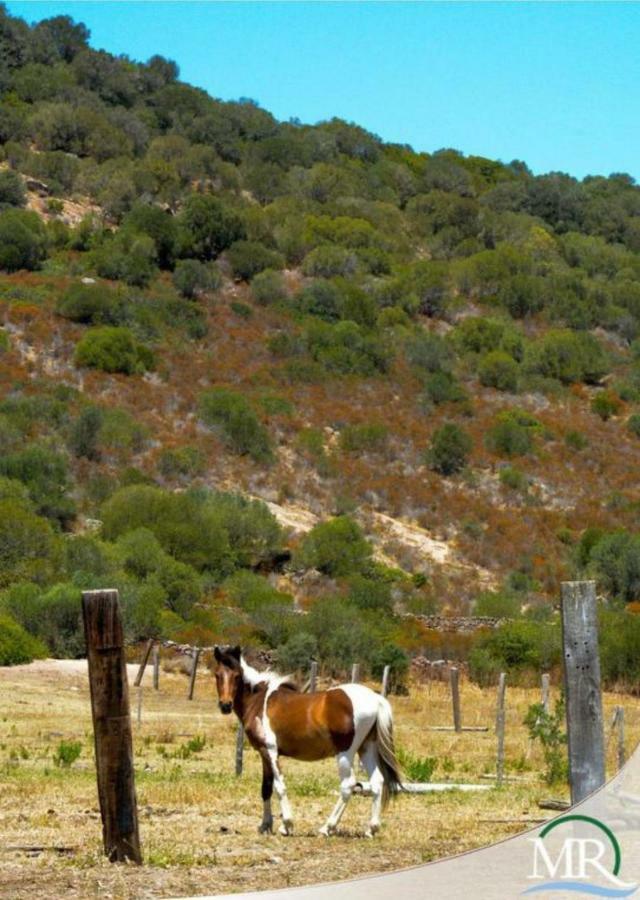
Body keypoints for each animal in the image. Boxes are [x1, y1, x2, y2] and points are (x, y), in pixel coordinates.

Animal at [211, 644, 400, 840]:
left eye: (237, 675)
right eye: (217, 674)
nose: (225, 705)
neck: (258, 700)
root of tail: (376, 699)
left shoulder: (271, 751)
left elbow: (279, 786)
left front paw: (286, 825)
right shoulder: (264, 753)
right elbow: (266, 788)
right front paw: (265, 825)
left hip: (345, 753)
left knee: (348, 785)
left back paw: (327, 828)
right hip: (366, 748)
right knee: (377, 782)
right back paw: (371, 829)